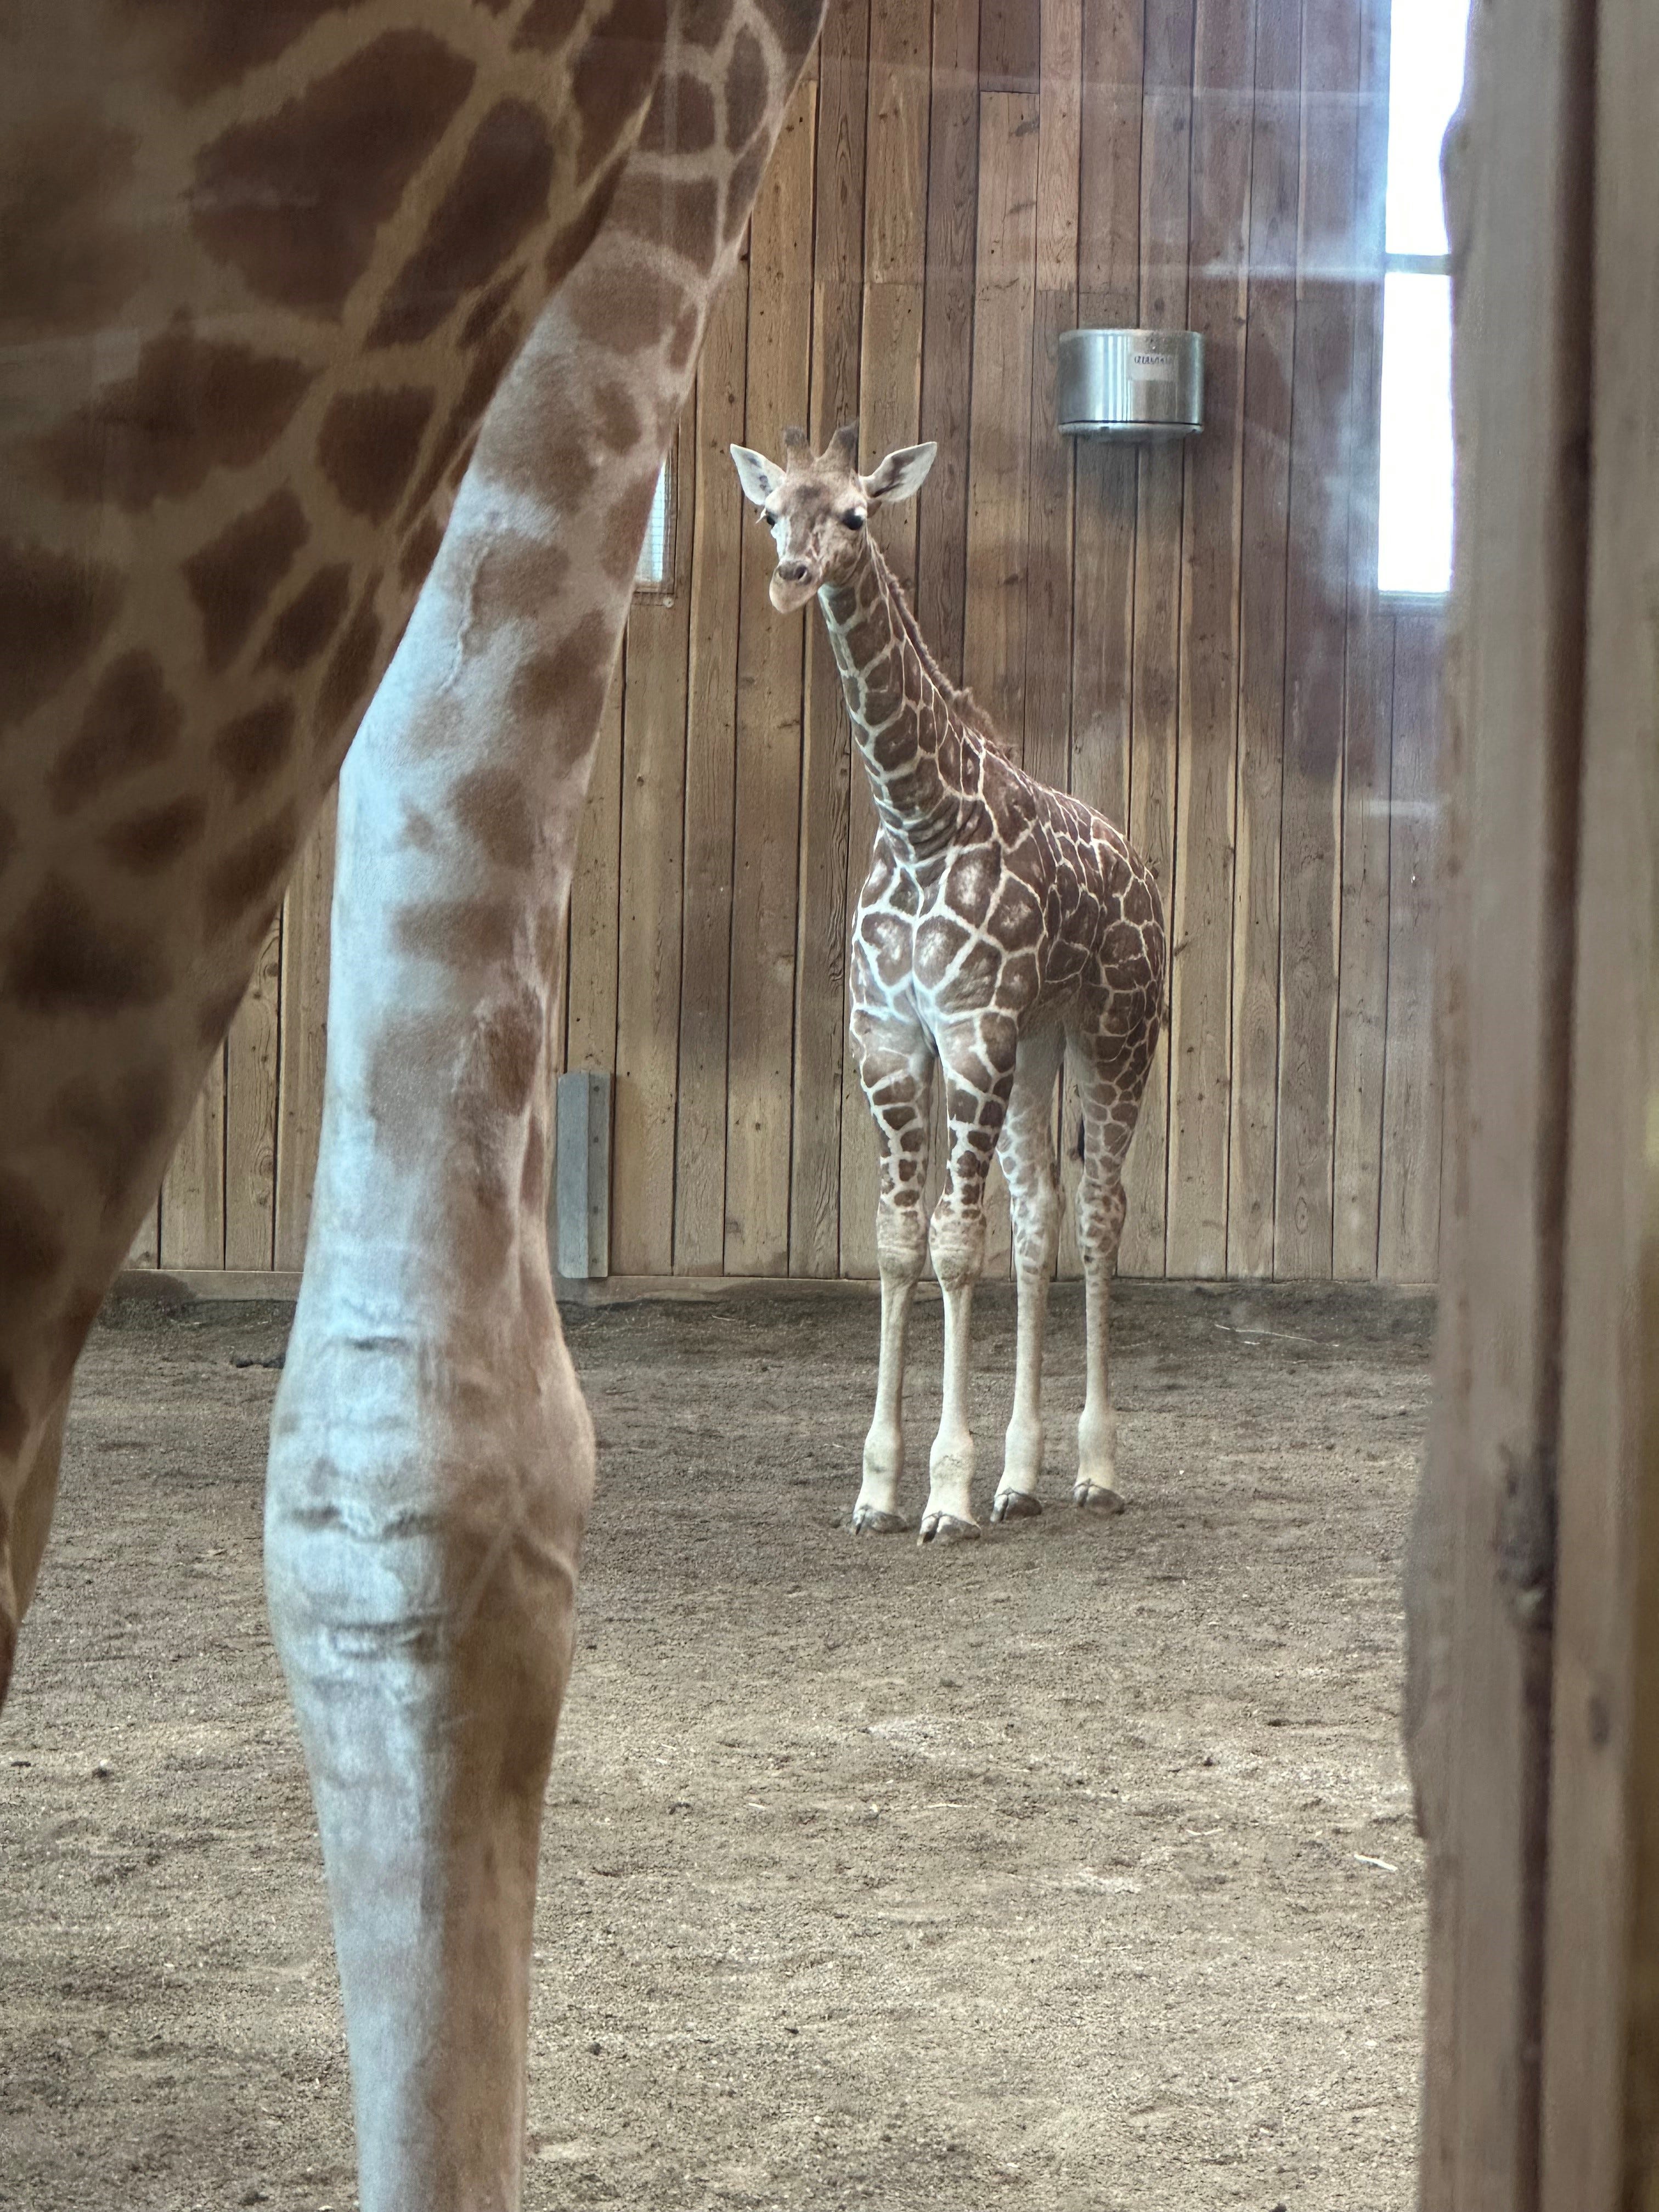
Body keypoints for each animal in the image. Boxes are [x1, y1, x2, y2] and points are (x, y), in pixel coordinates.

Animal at [731, 424, 1167, 1543]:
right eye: (771, 513)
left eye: (855, 514)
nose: (791, 577)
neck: (920, 820)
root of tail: (1140, 867)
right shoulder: (892, 1040)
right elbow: (896, 1244)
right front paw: (879, 1489)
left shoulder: (971, 1031)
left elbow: (953, 1244)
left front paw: (945, 1492)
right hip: (1040, 1042)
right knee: (1038, 1221)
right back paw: (1022, 1480)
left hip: (1114, 1036)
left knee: (1098, 1214)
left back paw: (1094, 1471)